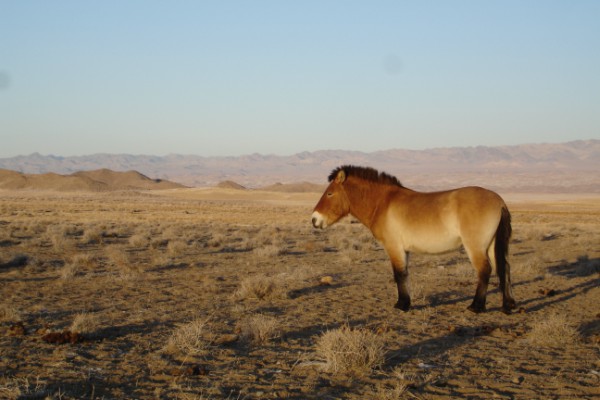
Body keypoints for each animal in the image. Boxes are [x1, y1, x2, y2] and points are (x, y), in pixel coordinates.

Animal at [314, 164, 516, 314]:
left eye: (330, 193)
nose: (314, 220)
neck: (383, 202)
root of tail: (499, 201)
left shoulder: (394, 247)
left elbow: (398, 274)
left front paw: (402, 305)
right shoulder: (404, 250)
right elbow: (404, 274)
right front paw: (405, 302)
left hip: (475, 247)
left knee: (485, 270)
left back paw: (476, 306)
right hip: (491, 245)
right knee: (503, 269)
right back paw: (508, 305)